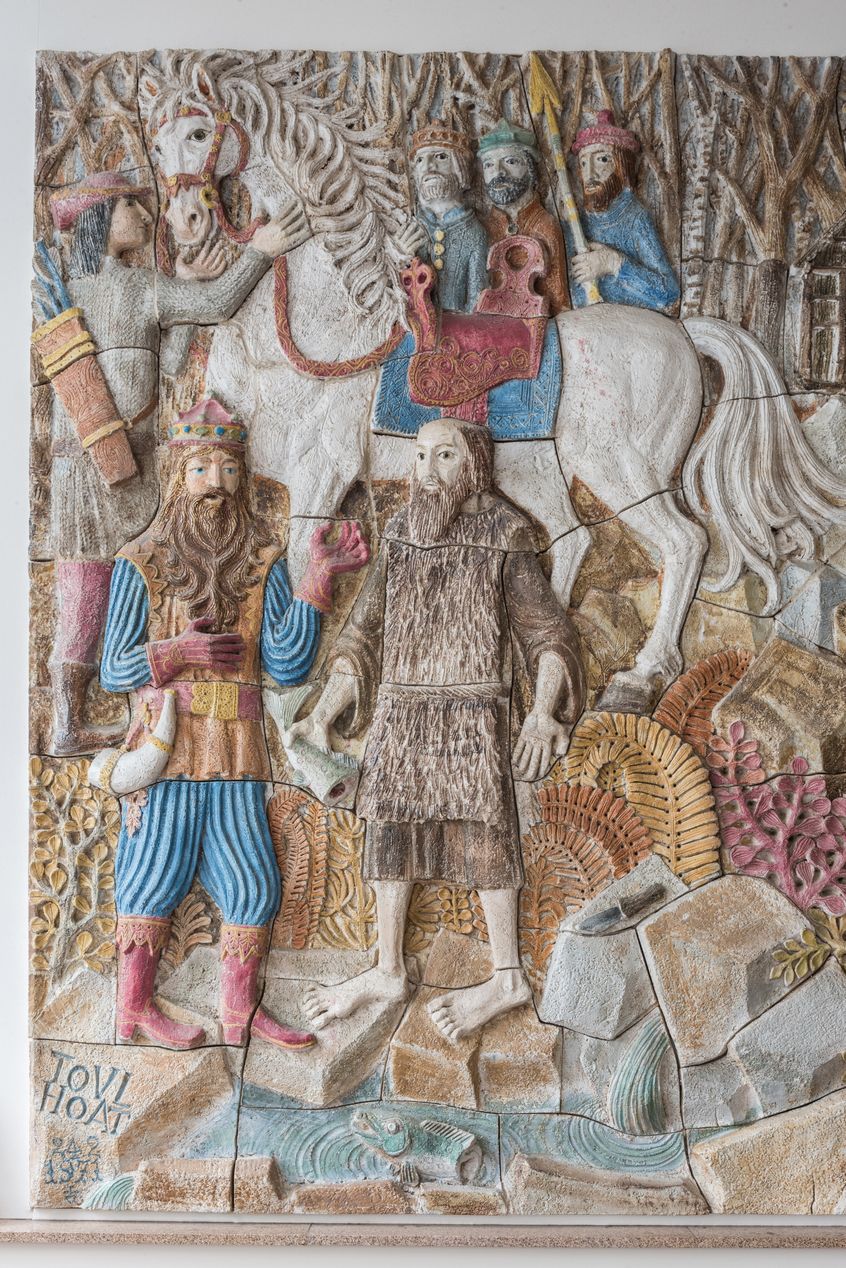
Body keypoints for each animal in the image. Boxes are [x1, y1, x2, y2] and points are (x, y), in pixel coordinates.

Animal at [140, 51, 846, 711]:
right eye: (156, 140)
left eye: (200, 132)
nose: (186, 223)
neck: (320, 321)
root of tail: (682, 335)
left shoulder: (322, 469)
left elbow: (297, 559)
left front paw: (292, 689)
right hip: (539, 471)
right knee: (572, 537)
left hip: (621, 469)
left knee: (684, 541)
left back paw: (640, 676)